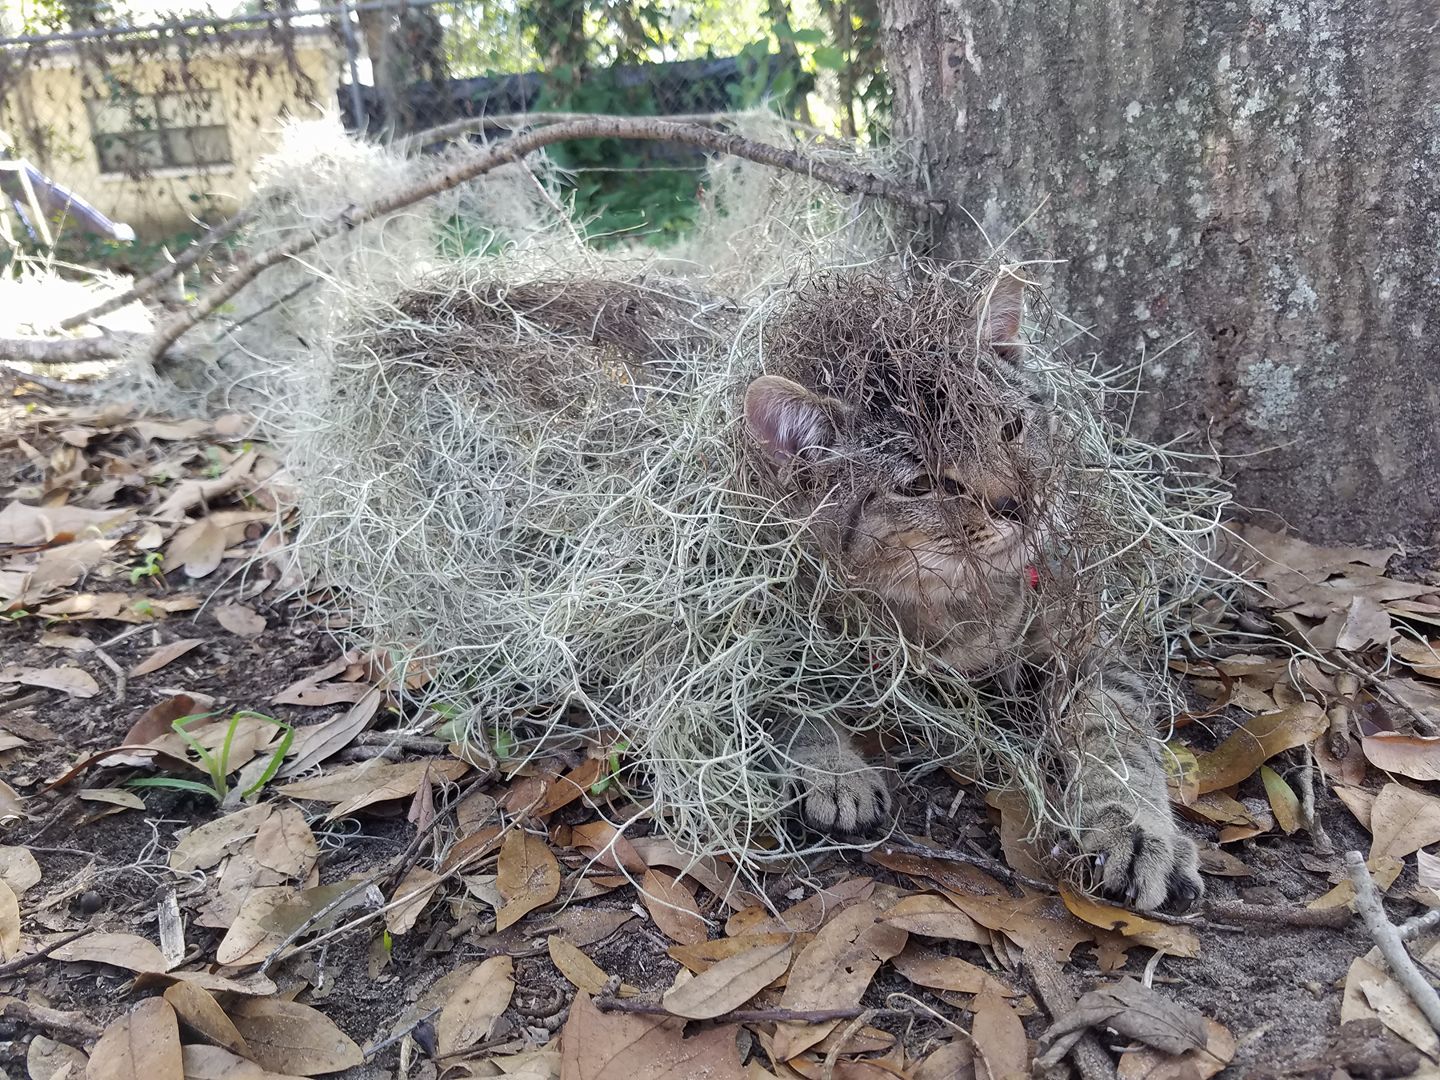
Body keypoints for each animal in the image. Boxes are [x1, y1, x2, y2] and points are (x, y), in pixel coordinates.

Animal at [743, 269, 1203, 915]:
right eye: (921, 484)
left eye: (1010, 428)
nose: (1021, 503)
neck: (955, 605)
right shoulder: (764, 625)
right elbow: (787, 699)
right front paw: (834, 769)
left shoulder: (1085, 644)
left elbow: (1117, 734)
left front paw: (1134, 826)